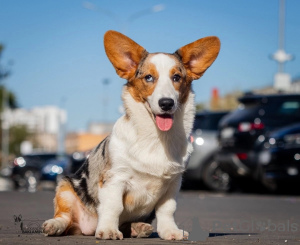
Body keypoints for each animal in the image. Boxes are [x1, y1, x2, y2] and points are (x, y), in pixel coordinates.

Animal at [42, 29, 219, 240]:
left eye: (176, 78)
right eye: (149, 77)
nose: (166, 103)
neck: (156, 138)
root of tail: (87, 228)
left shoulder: (173, 184)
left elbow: (167, 210)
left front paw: (170, 231)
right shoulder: (115, 179)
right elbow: (113, 207)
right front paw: (108, 230)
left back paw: (137, 228)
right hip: (65, 188)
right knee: (65, 217)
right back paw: (55, 225)